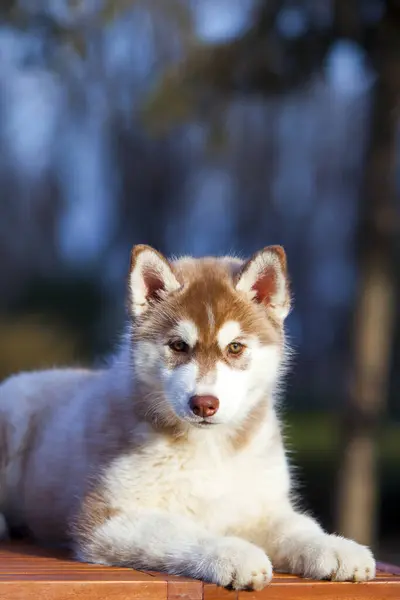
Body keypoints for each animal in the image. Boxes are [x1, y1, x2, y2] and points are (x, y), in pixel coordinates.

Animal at [0, 245, 376, 592]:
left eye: (235, 347)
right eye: (178, 346)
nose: (204, 404)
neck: (210, 448)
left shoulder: (262, 506)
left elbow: (298, 526)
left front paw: (335, 547)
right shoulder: (105, 517)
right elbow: (179, 531)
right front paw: (232, 553)